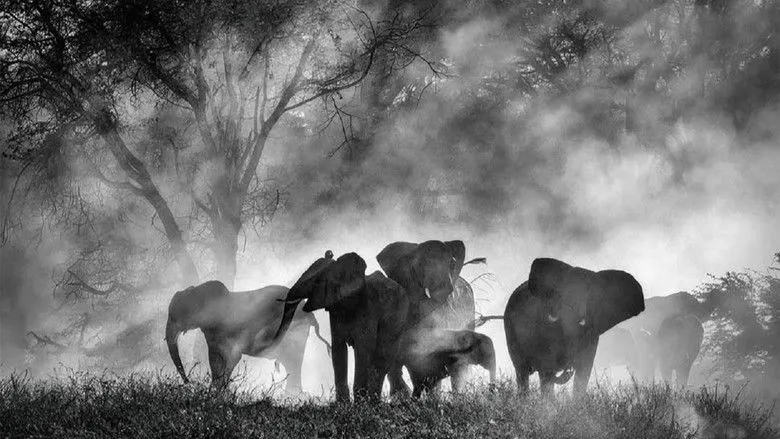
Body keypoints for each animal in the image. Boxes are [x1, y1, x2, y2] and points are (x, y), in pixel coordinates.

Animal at [165, 280, 330, 391]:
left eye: (176, 316)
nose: (189, 382)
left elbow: (233, 357)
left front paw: (217, 392)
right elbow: (215, 359)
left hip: (295, 332)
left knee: (293, 362)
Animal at [274, 251, 411, 403]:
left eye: (317, 282)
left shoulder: (368, 309)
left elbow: (363, 349)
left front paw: (360, 404)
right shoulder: (335, 311)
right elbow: (338, 349)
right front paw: (342, 404)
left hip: (399, 319)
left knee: (382, 358)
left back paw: (375, 401)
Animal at [504, 258, 645, 396]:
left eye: (590, 297)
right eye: (561, 295)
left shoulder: (591, 334)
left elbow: (583, 371)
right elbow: (547, 369)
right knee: (522, 372)